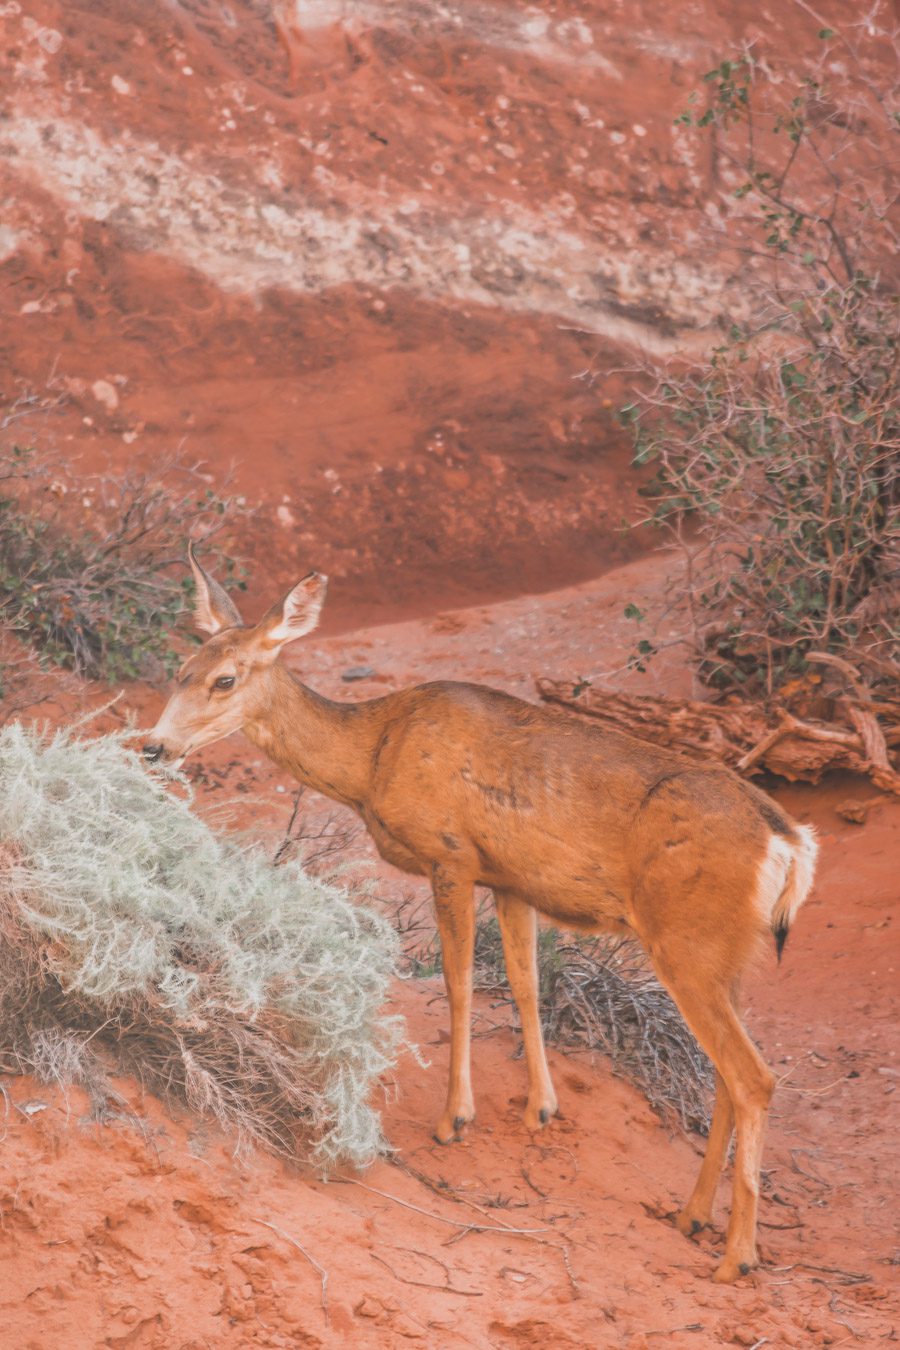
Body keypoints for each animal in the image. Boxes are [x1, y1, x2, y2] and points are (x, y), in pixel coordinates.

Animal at [144, 545, 820, 1274]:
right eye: (180, 671)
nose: (153, 746)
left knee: (754, 1078)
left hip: (687, 942)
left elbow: (460, 983)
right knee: (725, 1075)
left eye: (224, 680)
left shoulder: (452, 857)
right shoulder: (512, 879)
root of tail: (790, 841)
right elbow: (526, 982)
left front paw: (455, 1118)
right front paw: (541, 1109)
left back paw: (737, 1256)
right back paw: (692, 1215)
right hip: (727, 954)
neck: (371, 757)